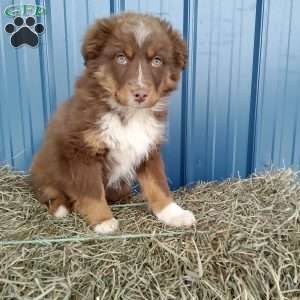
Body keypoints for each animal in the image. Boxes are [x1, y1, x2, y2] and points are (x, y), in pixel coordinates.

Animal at [30, 12, 195, 234]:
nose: (140, 94)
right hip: (45, 168)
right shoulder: (82, 150)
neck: (129, 114)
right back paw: (60, 207)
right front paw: (103, 220)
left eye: (157, 61)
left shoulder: (149, 148)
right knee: (49, 192)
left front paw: (173, 213)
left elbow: (158, 184)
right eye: (121, 58)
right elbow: (91, 191)